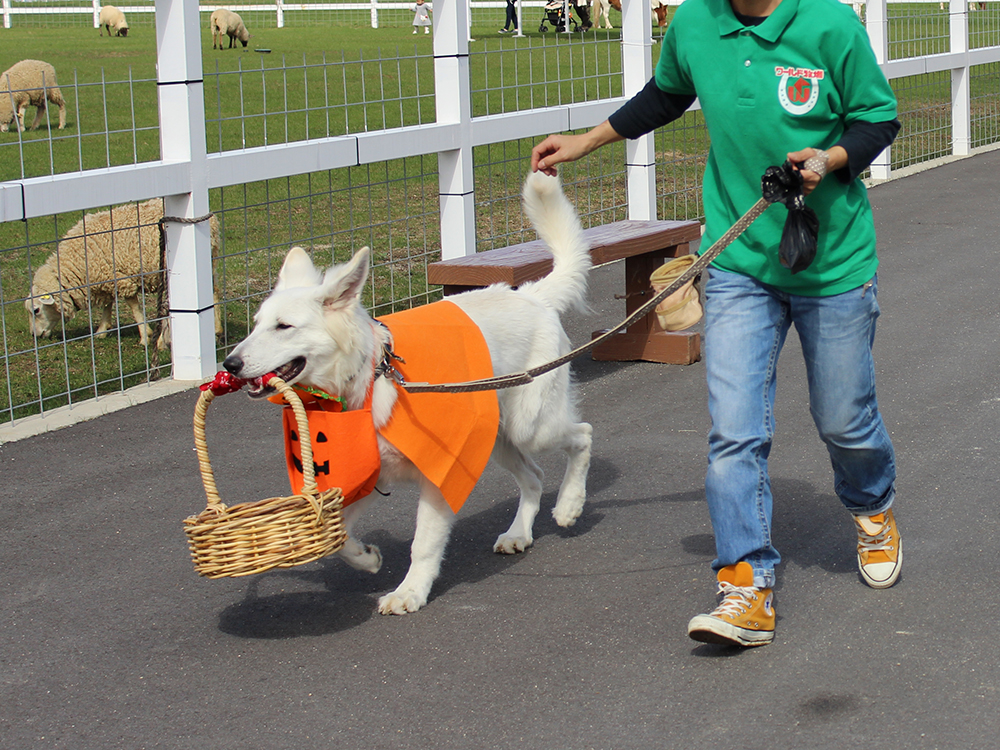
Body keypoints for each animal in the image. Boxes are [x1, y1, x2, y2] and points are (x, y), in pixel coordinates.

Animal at [25, 200, 223, 352]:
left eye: (36, 310)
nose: (35, 335)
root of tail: (213, 222)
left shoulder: (121, 279)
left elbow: (134, 308)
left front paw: (145, 335)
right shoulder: (107, 277)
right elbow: (107, 304)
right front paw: (102, 330)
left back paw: (161, 341)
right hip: (209, 261)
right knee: (214, 291)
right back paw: (217, 330)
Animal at [225, 175, 592, 616]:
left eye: (283, 327)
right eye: (256, 325)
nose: (229, 364)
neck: (367, 380)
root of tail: (531, 295)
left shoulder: (440, 475)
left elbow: (424, 545)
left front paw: (410, 592)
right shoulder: (367, 477)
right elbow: (337, 540)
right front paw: (366, 558)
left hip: (530, 427)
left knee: (582, 435)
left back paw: (570, 504)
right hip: (498, 439)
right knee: (534, 477)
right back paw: (519, 532)